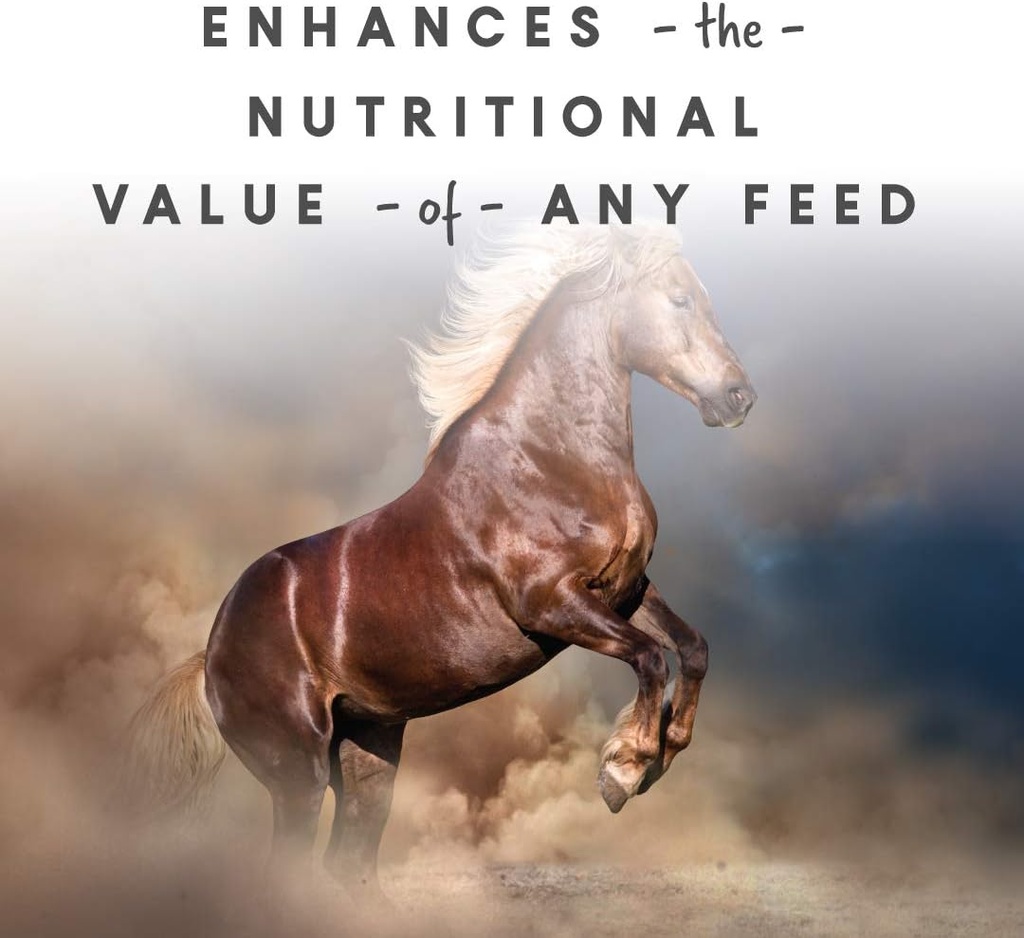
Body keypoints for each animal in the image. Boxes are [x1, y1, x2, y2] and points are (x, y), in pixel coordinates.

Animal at [123, 224, 756, 894]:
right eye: (680, 299)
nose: (739, 396)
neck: (551, 458)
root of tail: (209, 655)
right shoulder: (552, 604)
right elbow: (649, 657)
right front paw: (624, 770)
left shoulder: (627, 590)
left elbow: (691, 648)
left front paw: (663, 751)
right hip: (297, 770)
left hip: (369, 754)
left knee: (349, 862)